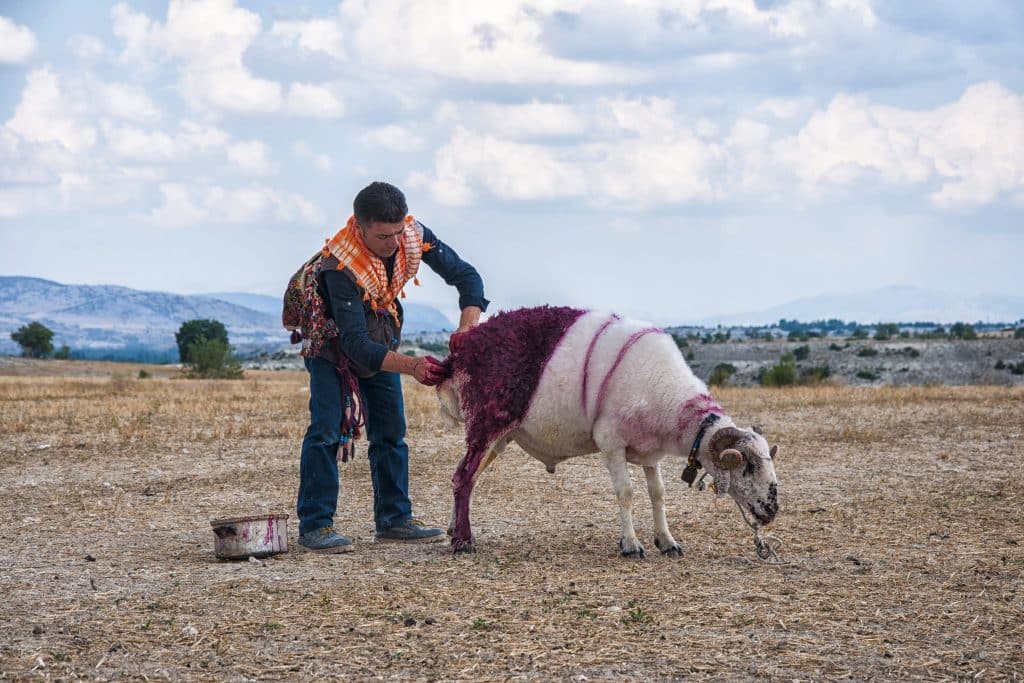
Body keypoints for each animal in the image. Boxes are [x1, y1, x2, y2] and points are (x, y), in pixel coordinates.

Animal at [436, 307, 778, 557]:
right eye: (747, 466)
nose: (772, 510)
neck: (668, 397)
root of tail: (463, 348)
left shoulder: (650, 453)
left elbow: (658, 493)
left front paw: (667, 541)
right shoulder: (612, 444)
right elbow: (626, 493)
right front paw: (630, 545)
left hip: (498, 437)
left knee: (465, 477)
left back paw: (454, 529)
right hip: (486, 424)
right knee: (464, 477)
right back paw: (463, 542)